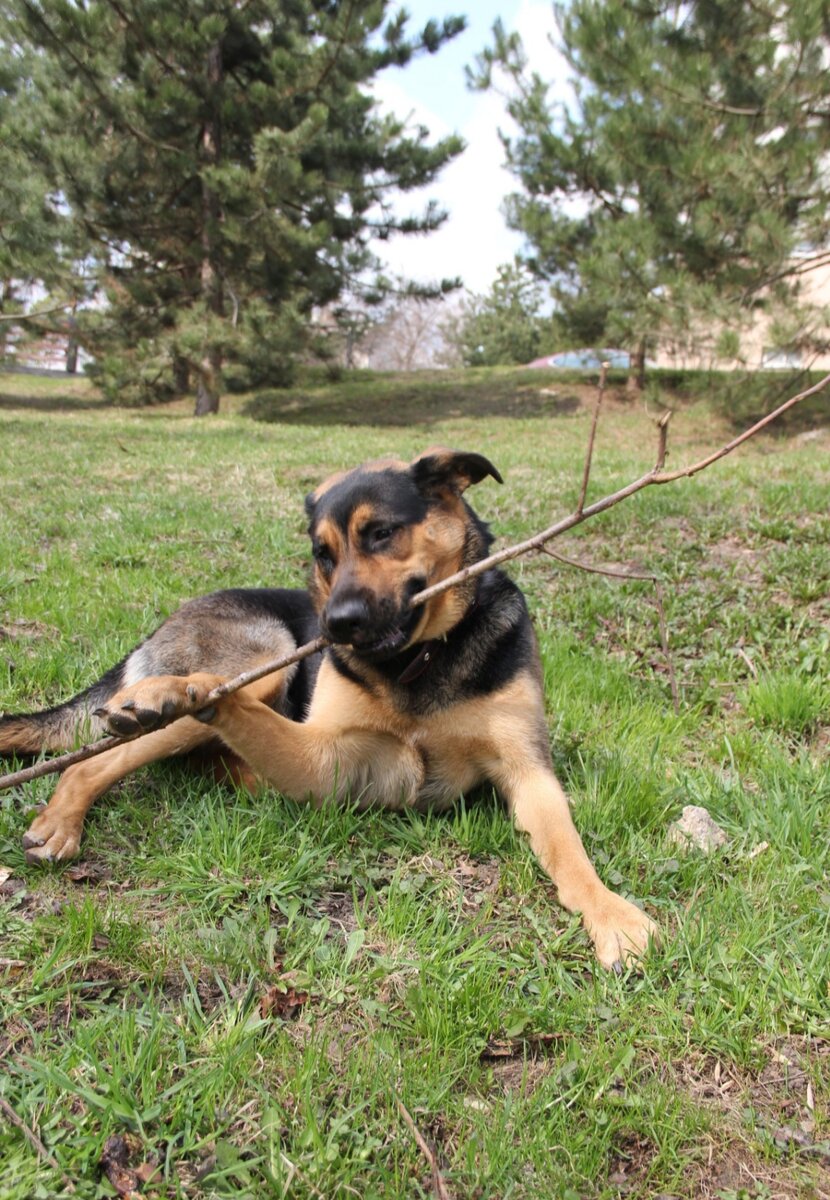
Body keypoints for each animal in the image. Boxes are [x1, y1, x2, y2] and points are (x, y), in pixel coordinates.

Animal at [1, 446, 662, 969]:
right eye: (322, 552)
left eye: (381, 534)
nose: (335, 626)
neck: (416, 663)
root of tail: (161, 626)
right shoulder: (327, 754)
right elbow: (227, 701)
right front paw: (179, 689)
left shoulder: (528, 770)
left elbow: (570, 851)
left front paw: (610, 914)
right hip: (270, 652)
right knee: (96, 758)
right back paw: (84, 792)